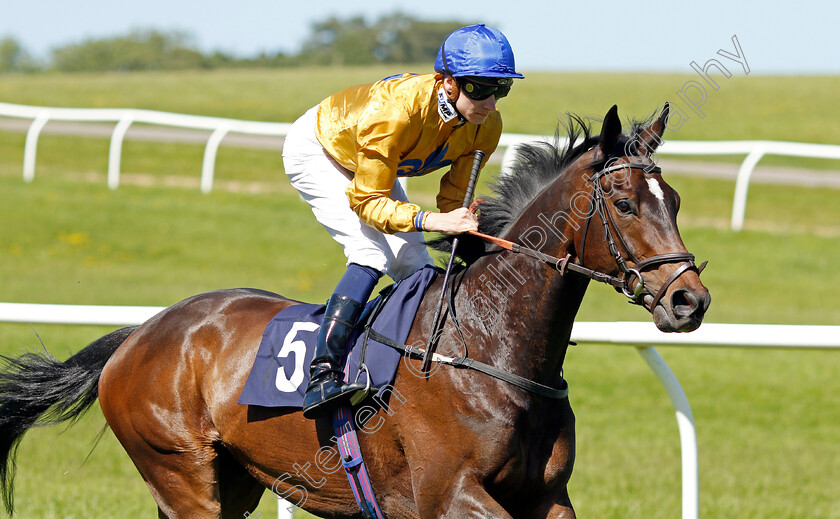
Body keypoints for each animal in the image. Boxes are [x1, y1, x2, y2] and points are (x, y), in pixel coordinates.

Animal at [0, 103, 708, 516]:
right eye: (625, 203)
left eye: (673, 198)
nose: (689, 300)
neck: (488, 347)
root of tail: (139, 334)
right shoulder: (449, 497)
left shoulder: (548, 497)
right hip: (182, 476)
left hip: (235, 481)